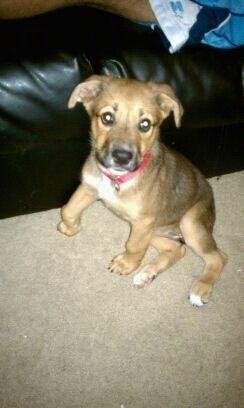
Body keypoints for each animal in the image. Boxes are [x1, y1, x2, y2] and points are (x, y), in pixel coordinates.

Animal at [57, 75, 227, 306]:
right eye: (107, 118)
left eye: (145, 124)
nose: (122, 157)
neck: (117, 179)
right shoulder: (90, 187)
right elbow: (68, 209)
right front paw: (71, 227)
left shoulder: (143, 221)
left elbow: (134, 247)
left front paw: (126, 265)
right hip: (155, 229)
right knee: (178, 249)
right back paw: (147, 274)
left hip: (188, 223)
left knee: (219, 257)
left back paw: (201, 288)